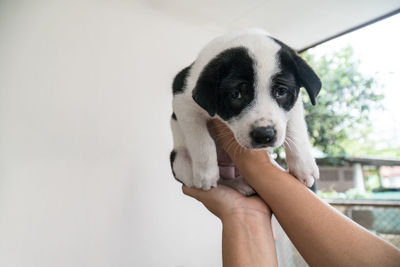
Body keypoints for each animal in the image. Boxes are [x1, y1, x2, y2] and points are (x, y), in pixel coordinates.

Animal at [169, 29, 322, 196]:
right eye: (236, 94)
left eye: (281, 92)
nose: (264, 135)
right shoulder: (183, 100)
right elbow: (201, 138)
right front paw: (206, 174)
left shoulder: (294, 104)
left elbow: (296, 128)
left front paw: (304, 165)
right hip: (178, 160)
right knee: (219, 179)